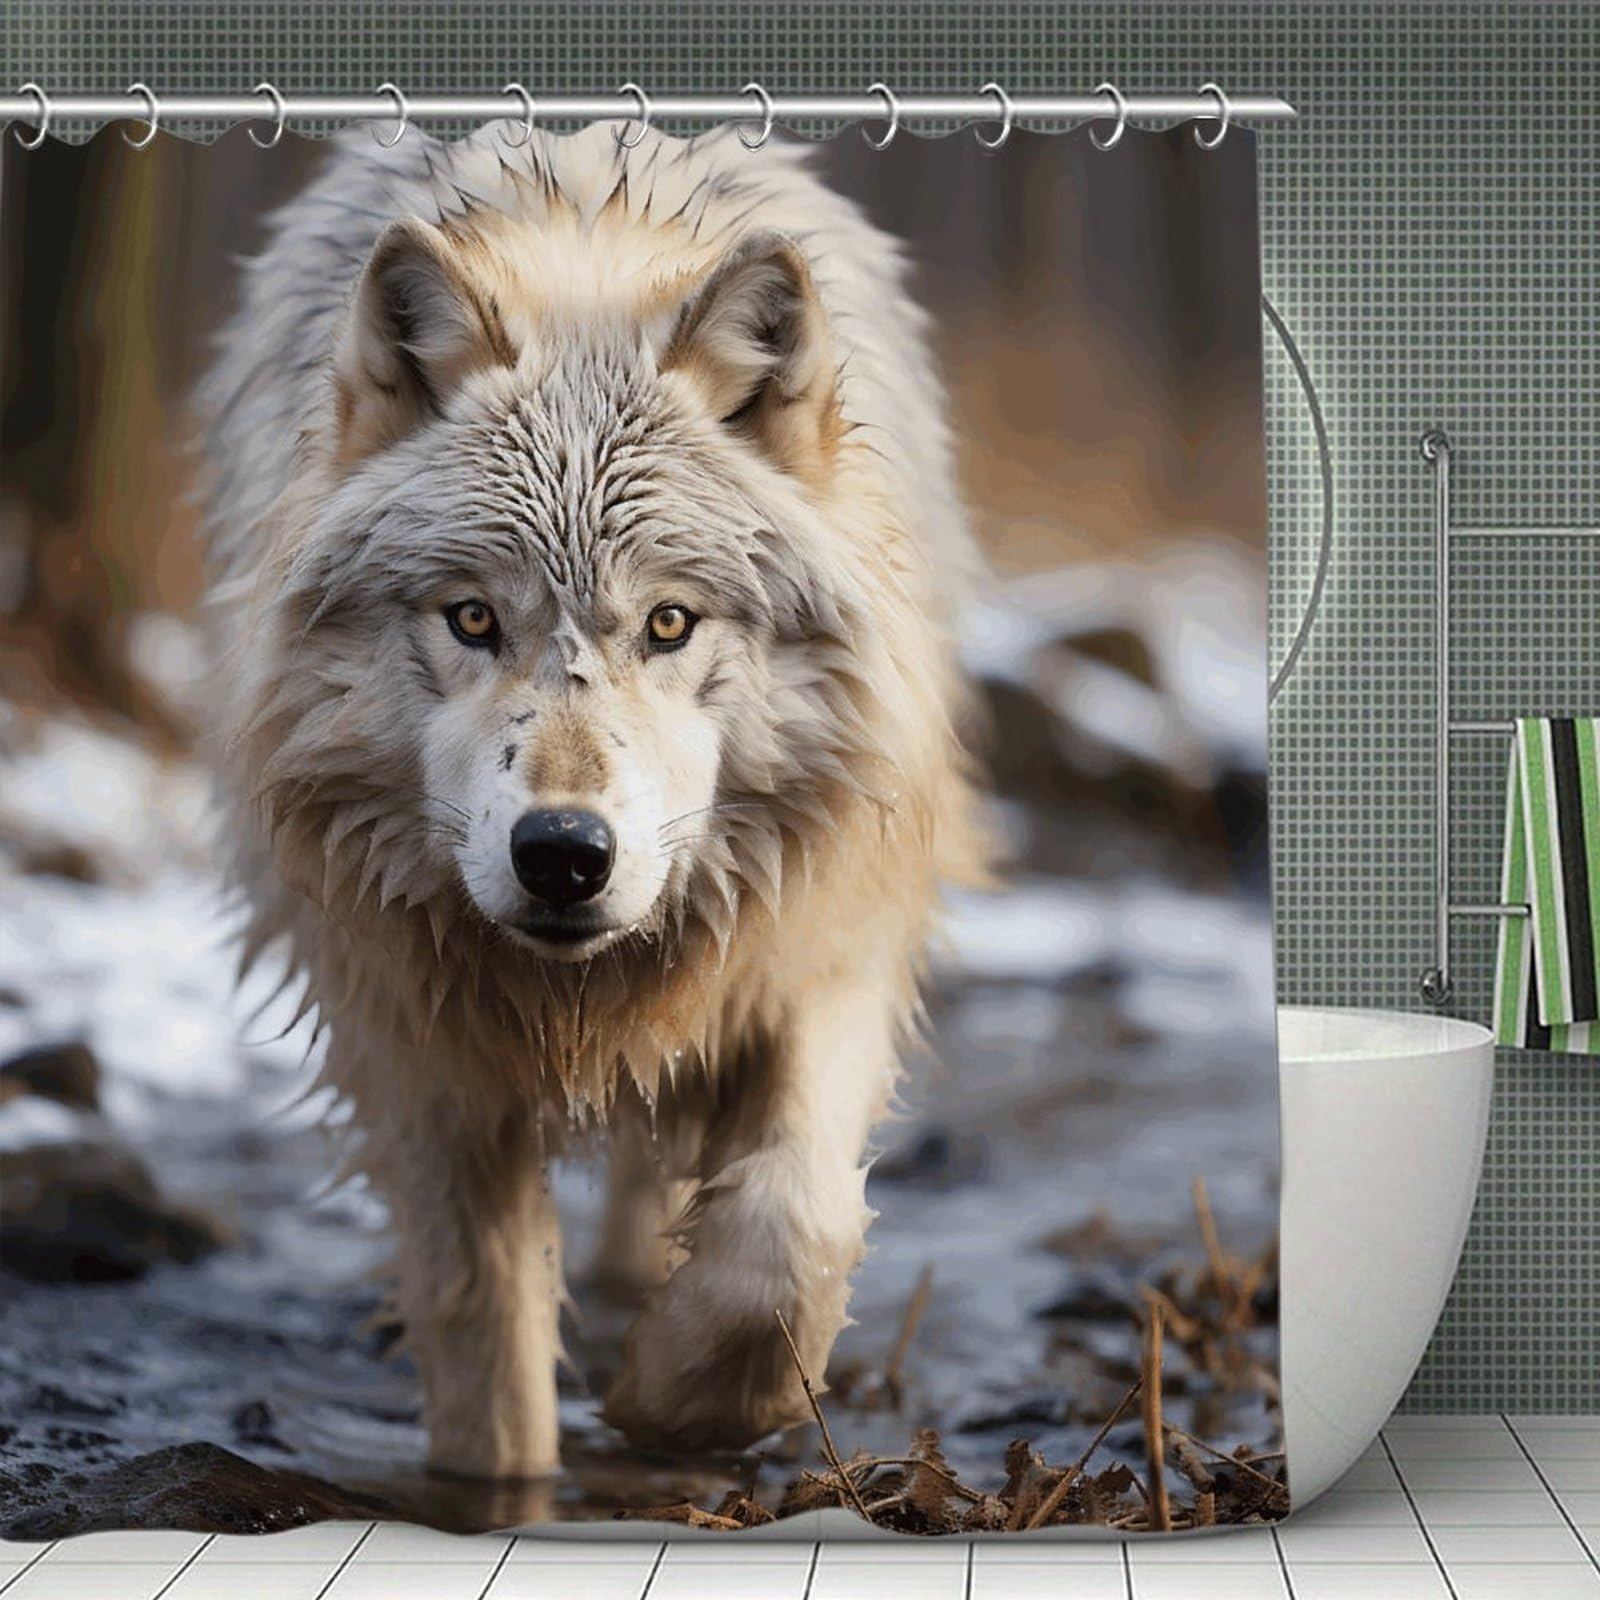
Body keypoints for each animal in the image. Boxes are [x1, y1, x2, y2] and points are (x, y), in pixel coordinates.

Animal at [195, 121, 983, 1479]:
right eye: (471, 618)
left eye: (668, 623)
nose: (563, 853)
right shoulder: (409, 1038)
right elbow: (481, 1325)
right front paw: (504, 1486)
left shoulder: (820, 937)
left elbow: (792, 1225)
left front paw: (675, 1403)